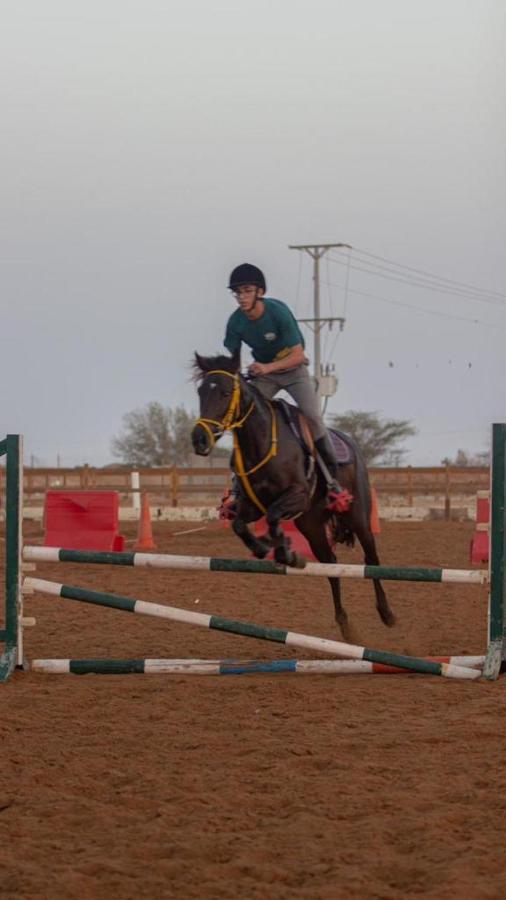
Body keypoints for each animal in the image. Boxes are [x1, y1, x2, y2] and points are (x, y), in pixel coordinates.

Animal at [190, 348, 396, 636]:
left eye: (224, 392)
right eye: (200, 391)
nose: (199, 439)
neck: (262, 443)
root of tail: (352, 443)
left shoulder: (296, 496)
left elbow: (274, 515)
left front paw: (283, 550)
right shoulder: (250, 506)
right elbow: (241, 525)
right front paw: (267, 547)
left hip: (358, 517)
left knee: (372, 559)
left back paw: (386, 613)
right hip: (311, 525)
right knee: (331, 563)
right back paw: (344, 622)